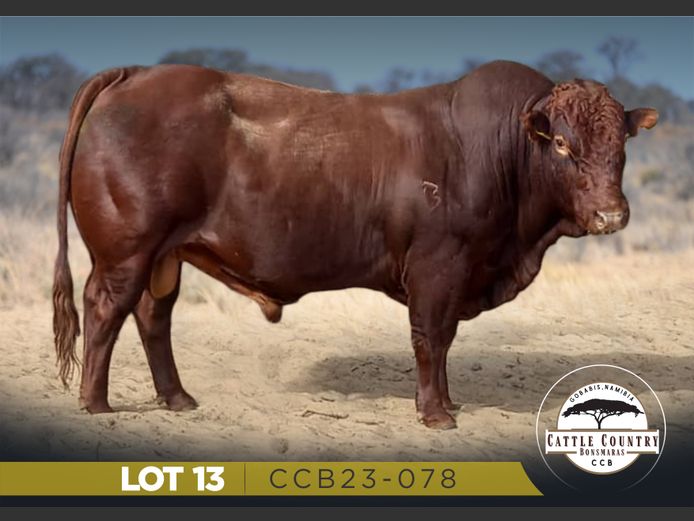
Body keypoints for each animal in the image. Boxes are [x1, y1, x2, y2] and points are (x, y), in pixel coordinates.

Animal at [52, 60, 657, 429]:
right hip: (126, 251)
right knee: (106, 309)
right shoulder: (439, 265)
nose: (611, 214)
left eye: (621, 143)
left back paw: (177, 398)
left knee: (153, 316)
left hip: (166, 256)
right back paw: (96, 402)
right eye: (561, 144)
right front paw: (436, 413)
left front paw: (446, 401)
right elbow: (431, 339)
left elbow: (443, 342)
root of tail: (137, 73)